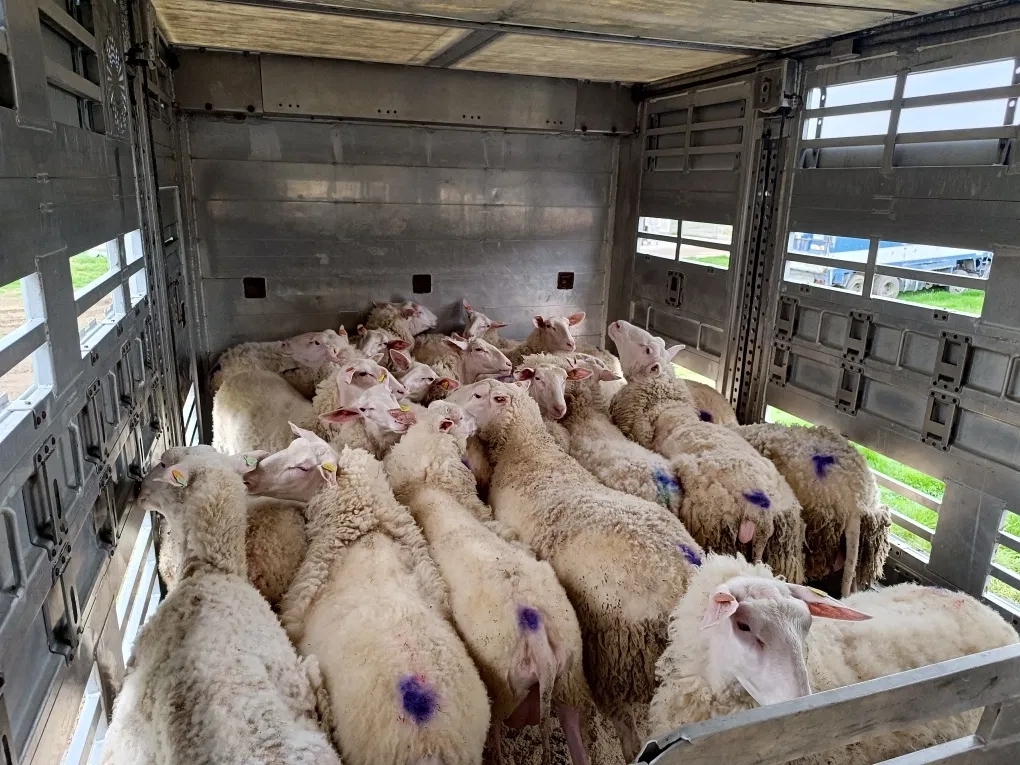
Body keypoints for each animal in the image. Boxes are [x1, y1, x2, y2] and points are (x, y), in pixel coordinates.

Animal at [385, 401, 593, 765]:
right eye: (453, 418)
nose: (474, 421)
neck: (431, 491)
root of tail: (536, 631)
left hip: (503, 689)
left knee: (496, 733)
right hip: (570, 673)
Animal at [449, 379, 705, 761]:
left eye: (480, 396)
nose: (444, 402)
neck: (528, 453)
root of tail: (684, 576)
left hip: (617, 659)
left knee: (625, 731)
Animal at [609, 322, 806, 584]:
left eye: (647, 349)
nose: (617, 324)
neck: (667, 406)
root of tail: (762, 515)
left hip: (713, 528)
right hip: (784, 553)